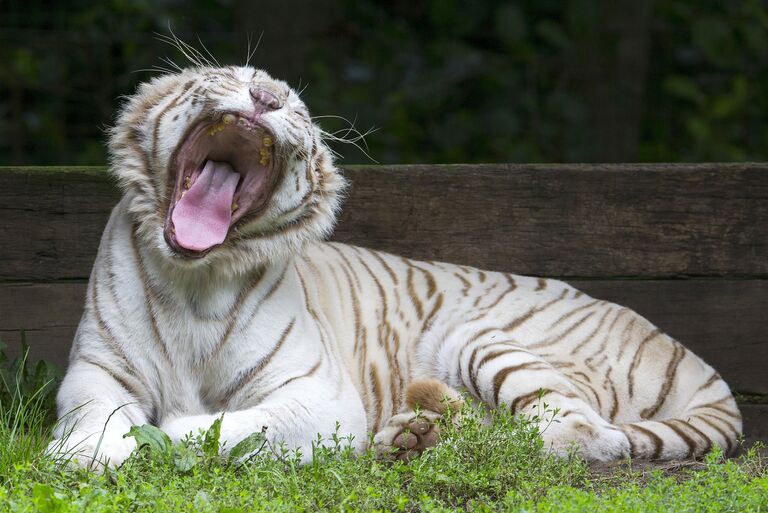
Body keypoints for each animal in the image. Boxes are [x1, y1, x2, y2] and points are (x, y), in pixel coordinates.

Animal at [49, 65, 744, 468]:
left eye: (297, 110)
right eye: (229, 75)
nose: (266, 95)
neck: (198, 273)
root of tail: (694, 360)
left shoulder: (320, 397)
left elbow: (217, 428)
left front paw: (153, 437)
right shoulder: (96, 371)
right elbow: (93, 420)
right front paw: (79, 453)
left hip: (479, 335)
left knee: (577, 436)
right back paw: (414, 433)